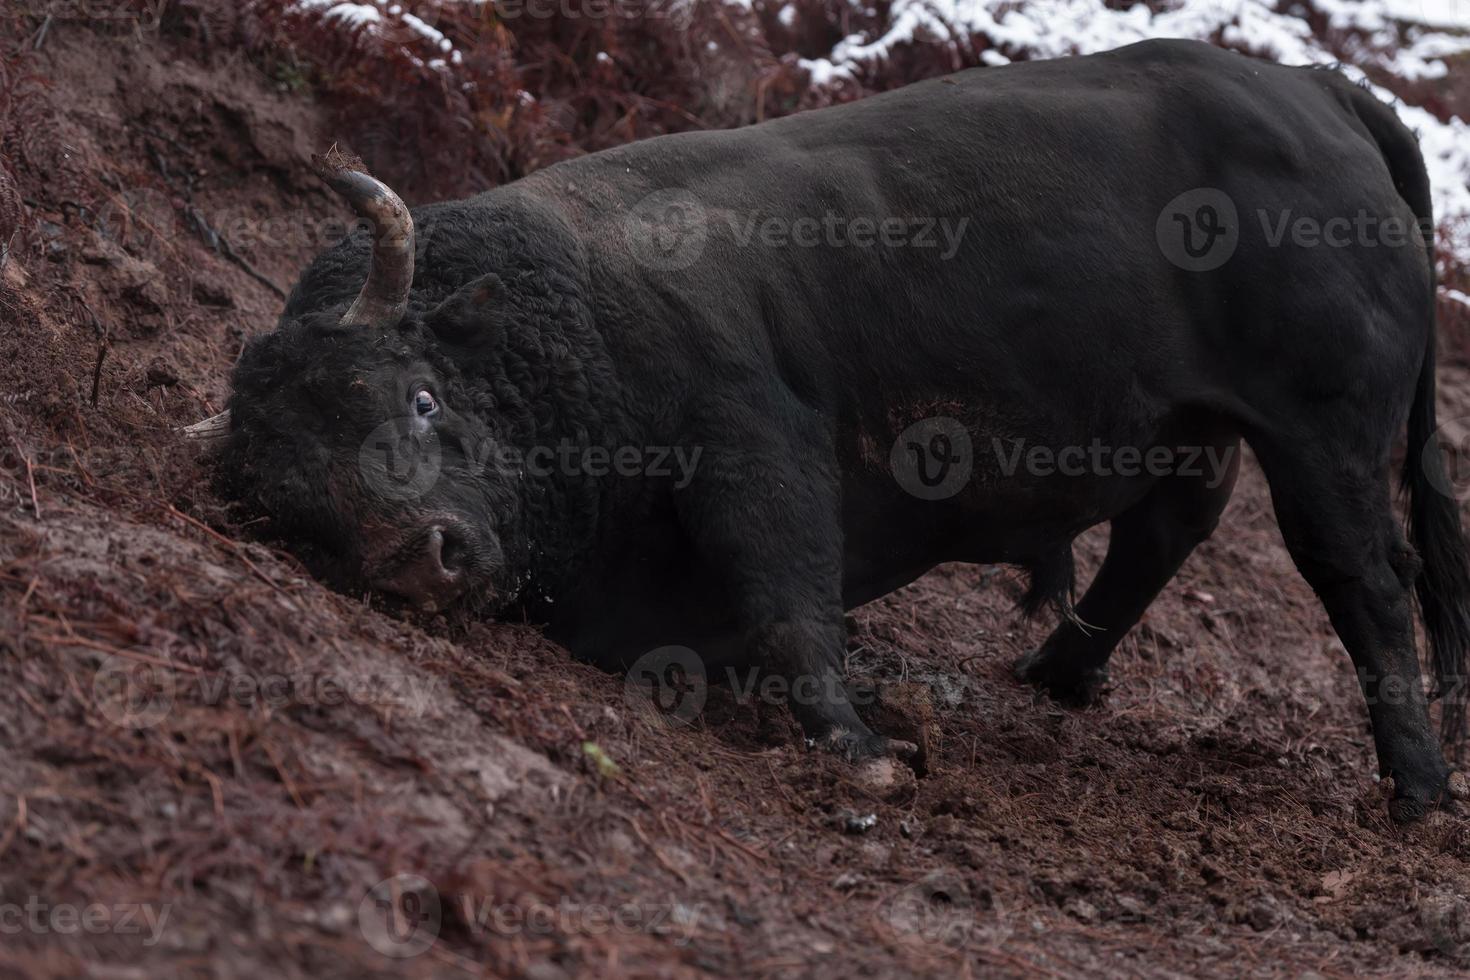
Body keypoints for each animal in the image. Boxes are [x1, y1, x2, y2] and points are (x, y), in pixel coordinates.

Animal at [214, 40, 1470, 822]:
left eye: (420, 395)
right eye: (292, 500)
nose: (424, 556)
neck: (575, 314)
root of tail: (1320, 92)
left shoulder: (754, 452)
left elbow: (789, 594)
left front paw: (868, 754)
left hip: (1321, 441)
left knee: (1362, 577)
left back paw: (1415, 790)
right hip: (1205, 427)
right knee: (1169, 532)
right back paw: (1054, 674)